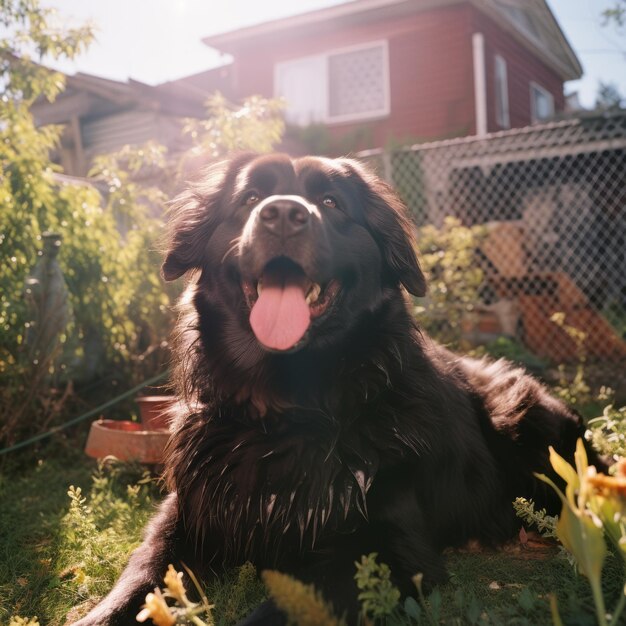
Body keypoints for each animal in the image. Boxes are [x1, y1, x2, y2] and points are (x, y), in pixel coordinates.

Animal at [70, 152, 604, 624]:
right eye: (250, 198)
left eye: (330, 202)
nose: (283, 215)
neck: (282, 410)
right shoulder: (184, 517)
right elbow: (136, 584)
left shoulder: (385, 548)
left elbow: (278, 612)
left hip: (521, 418)